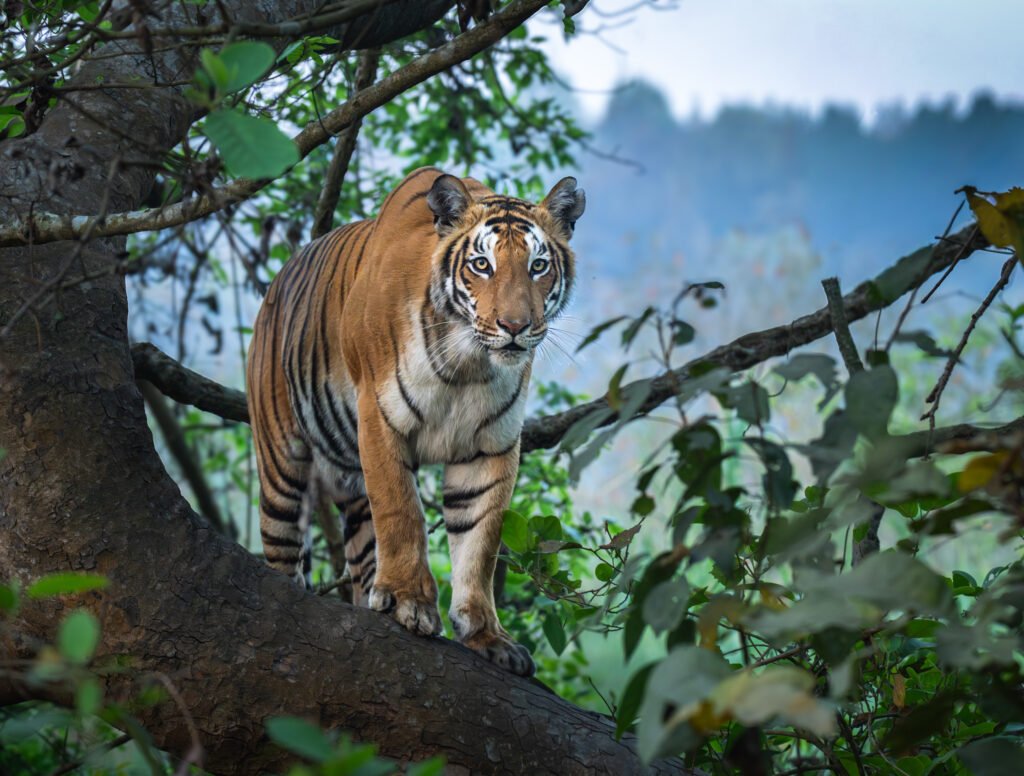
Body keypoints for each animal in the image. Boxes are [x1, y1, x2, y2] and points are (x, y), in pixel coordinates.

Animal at [245, 167, 585, 676]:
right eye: (482, 265)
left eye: (539, 266)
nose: (514, 327)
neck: (469, 363)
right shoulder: (379, 418)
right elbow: (401, 509)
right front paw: (409, 601)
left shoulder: (490, 447)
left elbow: (479, 542)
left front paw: (486, 634)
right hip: (281, 467)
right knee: (283, 549)